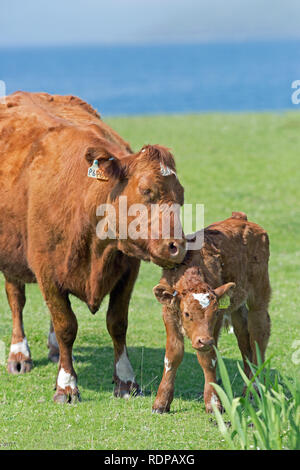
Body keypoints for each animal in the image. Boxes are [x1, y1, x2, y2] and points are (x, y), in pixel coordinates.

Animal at [0, 92, 186, 404]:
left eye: (181, 196)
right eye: (146, 191)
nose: (178, 247)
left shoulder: (128, 270)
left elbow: (117, 323)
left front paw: (126, 380)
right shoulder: (46, 270)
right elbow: (66, 325)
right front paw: (66, 385)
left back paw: (53, 351)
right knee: (17, 299)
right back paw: (19, 354)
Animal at [152, 211, 272, 414]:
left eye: (214, 313)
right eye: (186, 314)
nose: (204, 340)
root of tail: (241, 218)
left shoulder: (215, 325)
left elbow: (208, 359)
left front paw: (214, 402)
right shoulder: (168, 314)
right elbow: (173, 355)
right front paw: (161, 402)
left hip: (259, 298)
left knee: (258, 338)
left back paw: (254, 389)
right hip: (237, 308)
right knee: (244, 340)